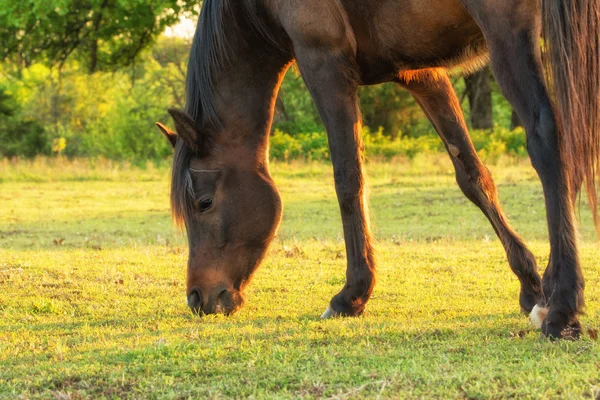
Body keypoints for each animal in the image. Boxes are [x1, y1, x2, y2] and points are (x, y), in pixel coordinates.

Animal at [156, 0, 600, 340]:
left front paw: (351, 295)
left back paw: (563, 309)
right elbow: (472, 176)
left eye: (204, 202)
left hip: (508, 30)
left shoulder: (324, 62)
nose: (196, 298)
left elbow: (348, 178)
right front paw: (531, 286)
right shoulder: (420, 72)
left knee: (547, 138)